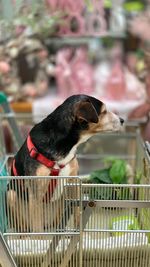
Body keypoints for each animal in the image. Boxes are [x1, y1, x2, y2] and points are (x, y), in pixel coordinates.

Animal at [6, 94, 124, 232]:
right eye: (104, 112)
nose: (122, 120)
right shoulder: (36, 192)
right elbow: (38, 231)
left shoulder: (73, 182)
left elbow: (77, 213)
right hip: (11, 195)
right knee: (26, 227)